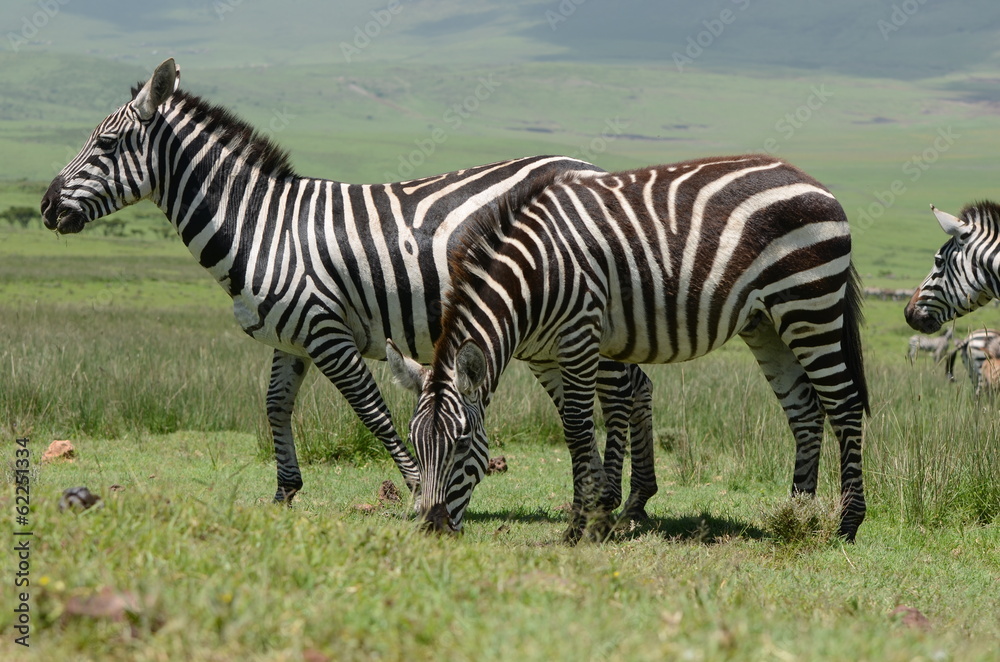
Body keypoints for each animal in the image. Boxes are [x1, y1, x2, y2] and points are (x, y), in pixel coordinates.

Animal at [41, 58, 664, 524]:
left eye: (106, 143)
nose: (46, 206)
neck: (260, 226)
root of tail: (596, 169)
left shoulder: (326, 330)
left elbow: (371, 411)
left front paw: (413, 491)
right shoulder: (289, 336)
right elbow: (275, 405)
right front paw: (285, 492)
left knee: (620, 388)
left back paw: (616, 499)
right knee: (631, 385)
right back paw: (634, 499)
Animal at [386, 154, 872, 544]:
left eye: (463, 445)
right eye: (415, 443)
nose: (431, 530)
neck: (534, 279)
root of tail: (811, 179)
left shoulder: (579, 335)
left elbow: (578, 428)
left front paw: (580, 528)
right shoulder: (548, 351)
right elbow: (584, 424)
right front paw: (599, 515)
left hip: (809, 304)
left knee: (844, 405)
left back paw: (846, 525)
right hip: (766, 323)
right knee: (804, 409)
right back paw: (798, 515)